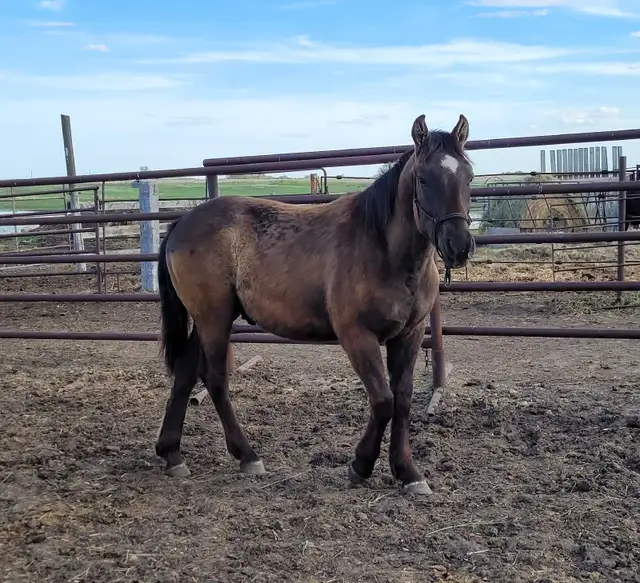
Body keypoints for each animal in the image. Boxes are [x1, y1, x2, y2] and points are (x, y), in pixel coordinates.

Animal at [154, 113, 476, 495]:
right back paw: (247, 456)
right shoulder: (357, 337)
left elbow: (403, 400)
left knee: (186, 373)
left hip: (205, 320)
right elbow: (383, 401)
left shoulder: (409, 335)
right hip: (213, 318)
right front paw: (361, 465)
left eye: (469, 176)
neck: (382, 248)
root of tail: (181, 223)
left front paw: (408, 473)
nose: (459, 245)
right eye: (424, 179)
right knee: (214, 378)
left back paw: (172, 454)